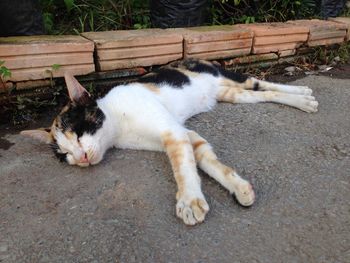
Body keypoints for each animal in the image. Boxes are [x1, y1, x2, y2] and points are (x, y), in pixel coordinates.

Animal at [20, 59, 318, 227]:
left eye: (79, 133)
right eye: (65, 155)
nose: (80, 158)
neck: (119, 124)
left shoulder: (172, 132)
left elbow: (182, 167)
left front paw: (189, 200)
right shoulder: (185, 134)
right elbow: (205, 159)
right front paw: (238, 187)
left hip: (230, 77)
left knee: (260, 82)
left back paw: (303, 95)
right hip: (231, 95)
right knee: (262, 94)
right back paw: (301, 98)